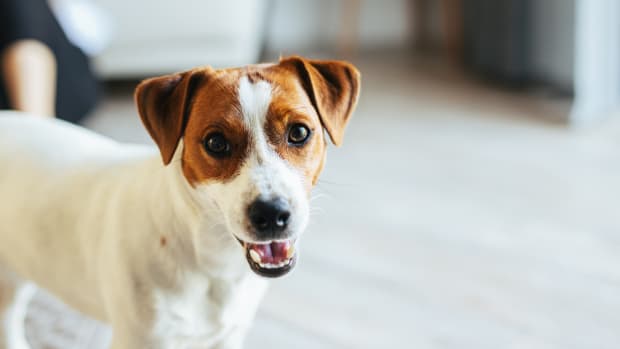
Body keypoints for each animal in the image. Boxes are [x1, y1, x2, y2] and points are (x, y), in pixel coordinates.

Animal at [0, 55, 360, 346]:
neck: (213, 261)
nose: (271, 214)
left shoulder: (226, 336)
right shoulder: (142, 339)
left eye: (299, 132)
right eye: (215, 142)